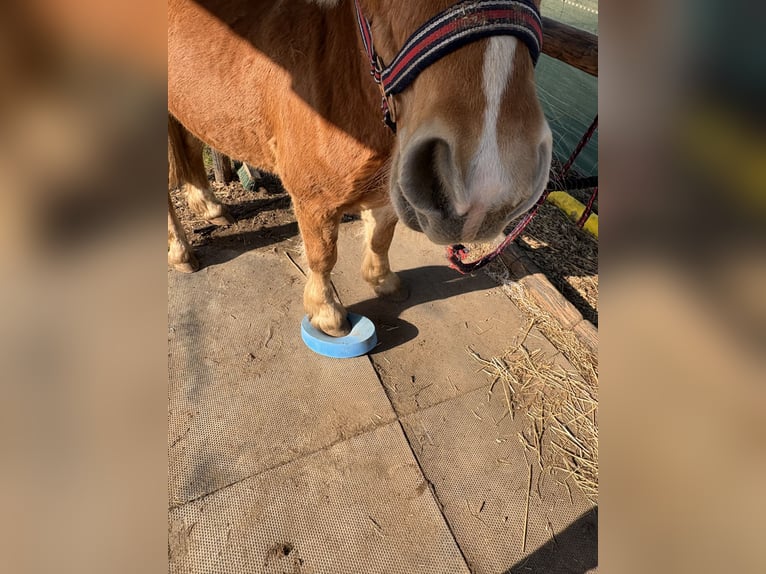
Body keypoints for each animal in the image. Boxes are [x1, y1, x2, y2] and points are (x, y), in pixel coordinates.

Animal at [168, 0, 552, 337]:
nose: (487, 180)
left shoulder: (390, 190)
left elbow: (381, 237)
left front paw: (383, 281)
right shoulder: (314, 200)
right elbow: (323, 256)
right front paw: (326, 312)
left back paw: (209, 206)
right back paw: (181, 252)